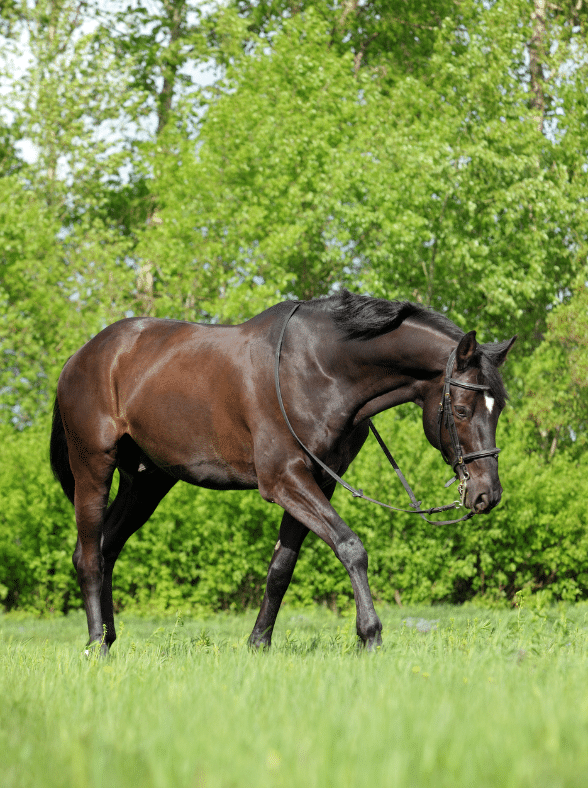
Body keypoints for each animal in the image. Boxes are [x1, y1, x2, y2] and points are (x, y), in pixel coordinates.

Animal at [51, 290, 520, 652]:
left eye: (497, 408)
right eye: (462, 410)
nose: (486, 493)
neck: (320, 368)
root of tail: (81, 357)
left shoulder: (319, 483)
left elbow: (282, 566)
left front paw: (259, 643)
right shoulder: (285, 480)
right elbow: (351, 547)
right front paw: (370, 635)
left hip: (147, 481)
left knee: (106, 549)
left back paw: (109, 638)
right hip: (94, 468)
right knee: (89, 556)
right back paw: (95, 645)